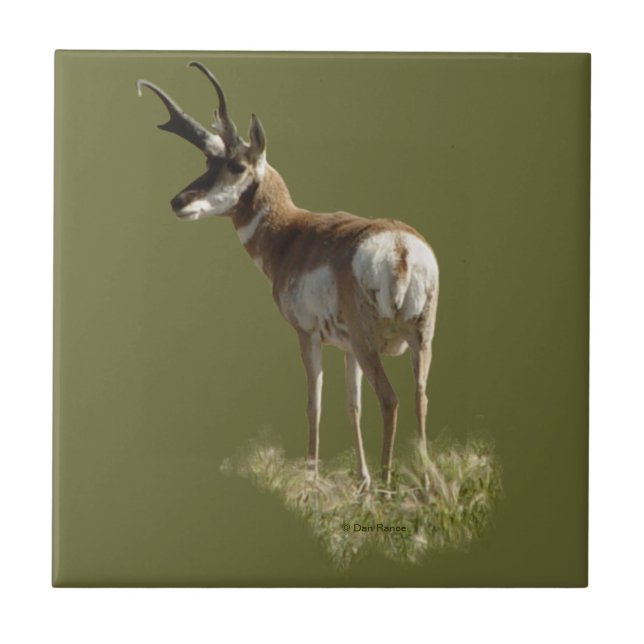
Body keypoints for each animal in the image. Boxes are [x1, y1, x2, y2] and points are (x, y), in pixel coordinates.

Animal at [137, 62, 439, 492]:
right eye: (208, 164)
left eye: (235, 165)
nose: (178, 201)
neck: (292, 232)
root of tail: (399, 247)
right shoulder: (346, 348)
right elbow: (352, 405)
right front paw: (360, 480)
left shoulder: (307, 334)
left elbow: (314, 403)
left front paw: (312, 478)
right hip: (419, 338)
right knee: (420, 397)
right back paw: (424, 483)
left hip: (370, 343)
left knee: (390, 399)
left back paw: (386, 484)